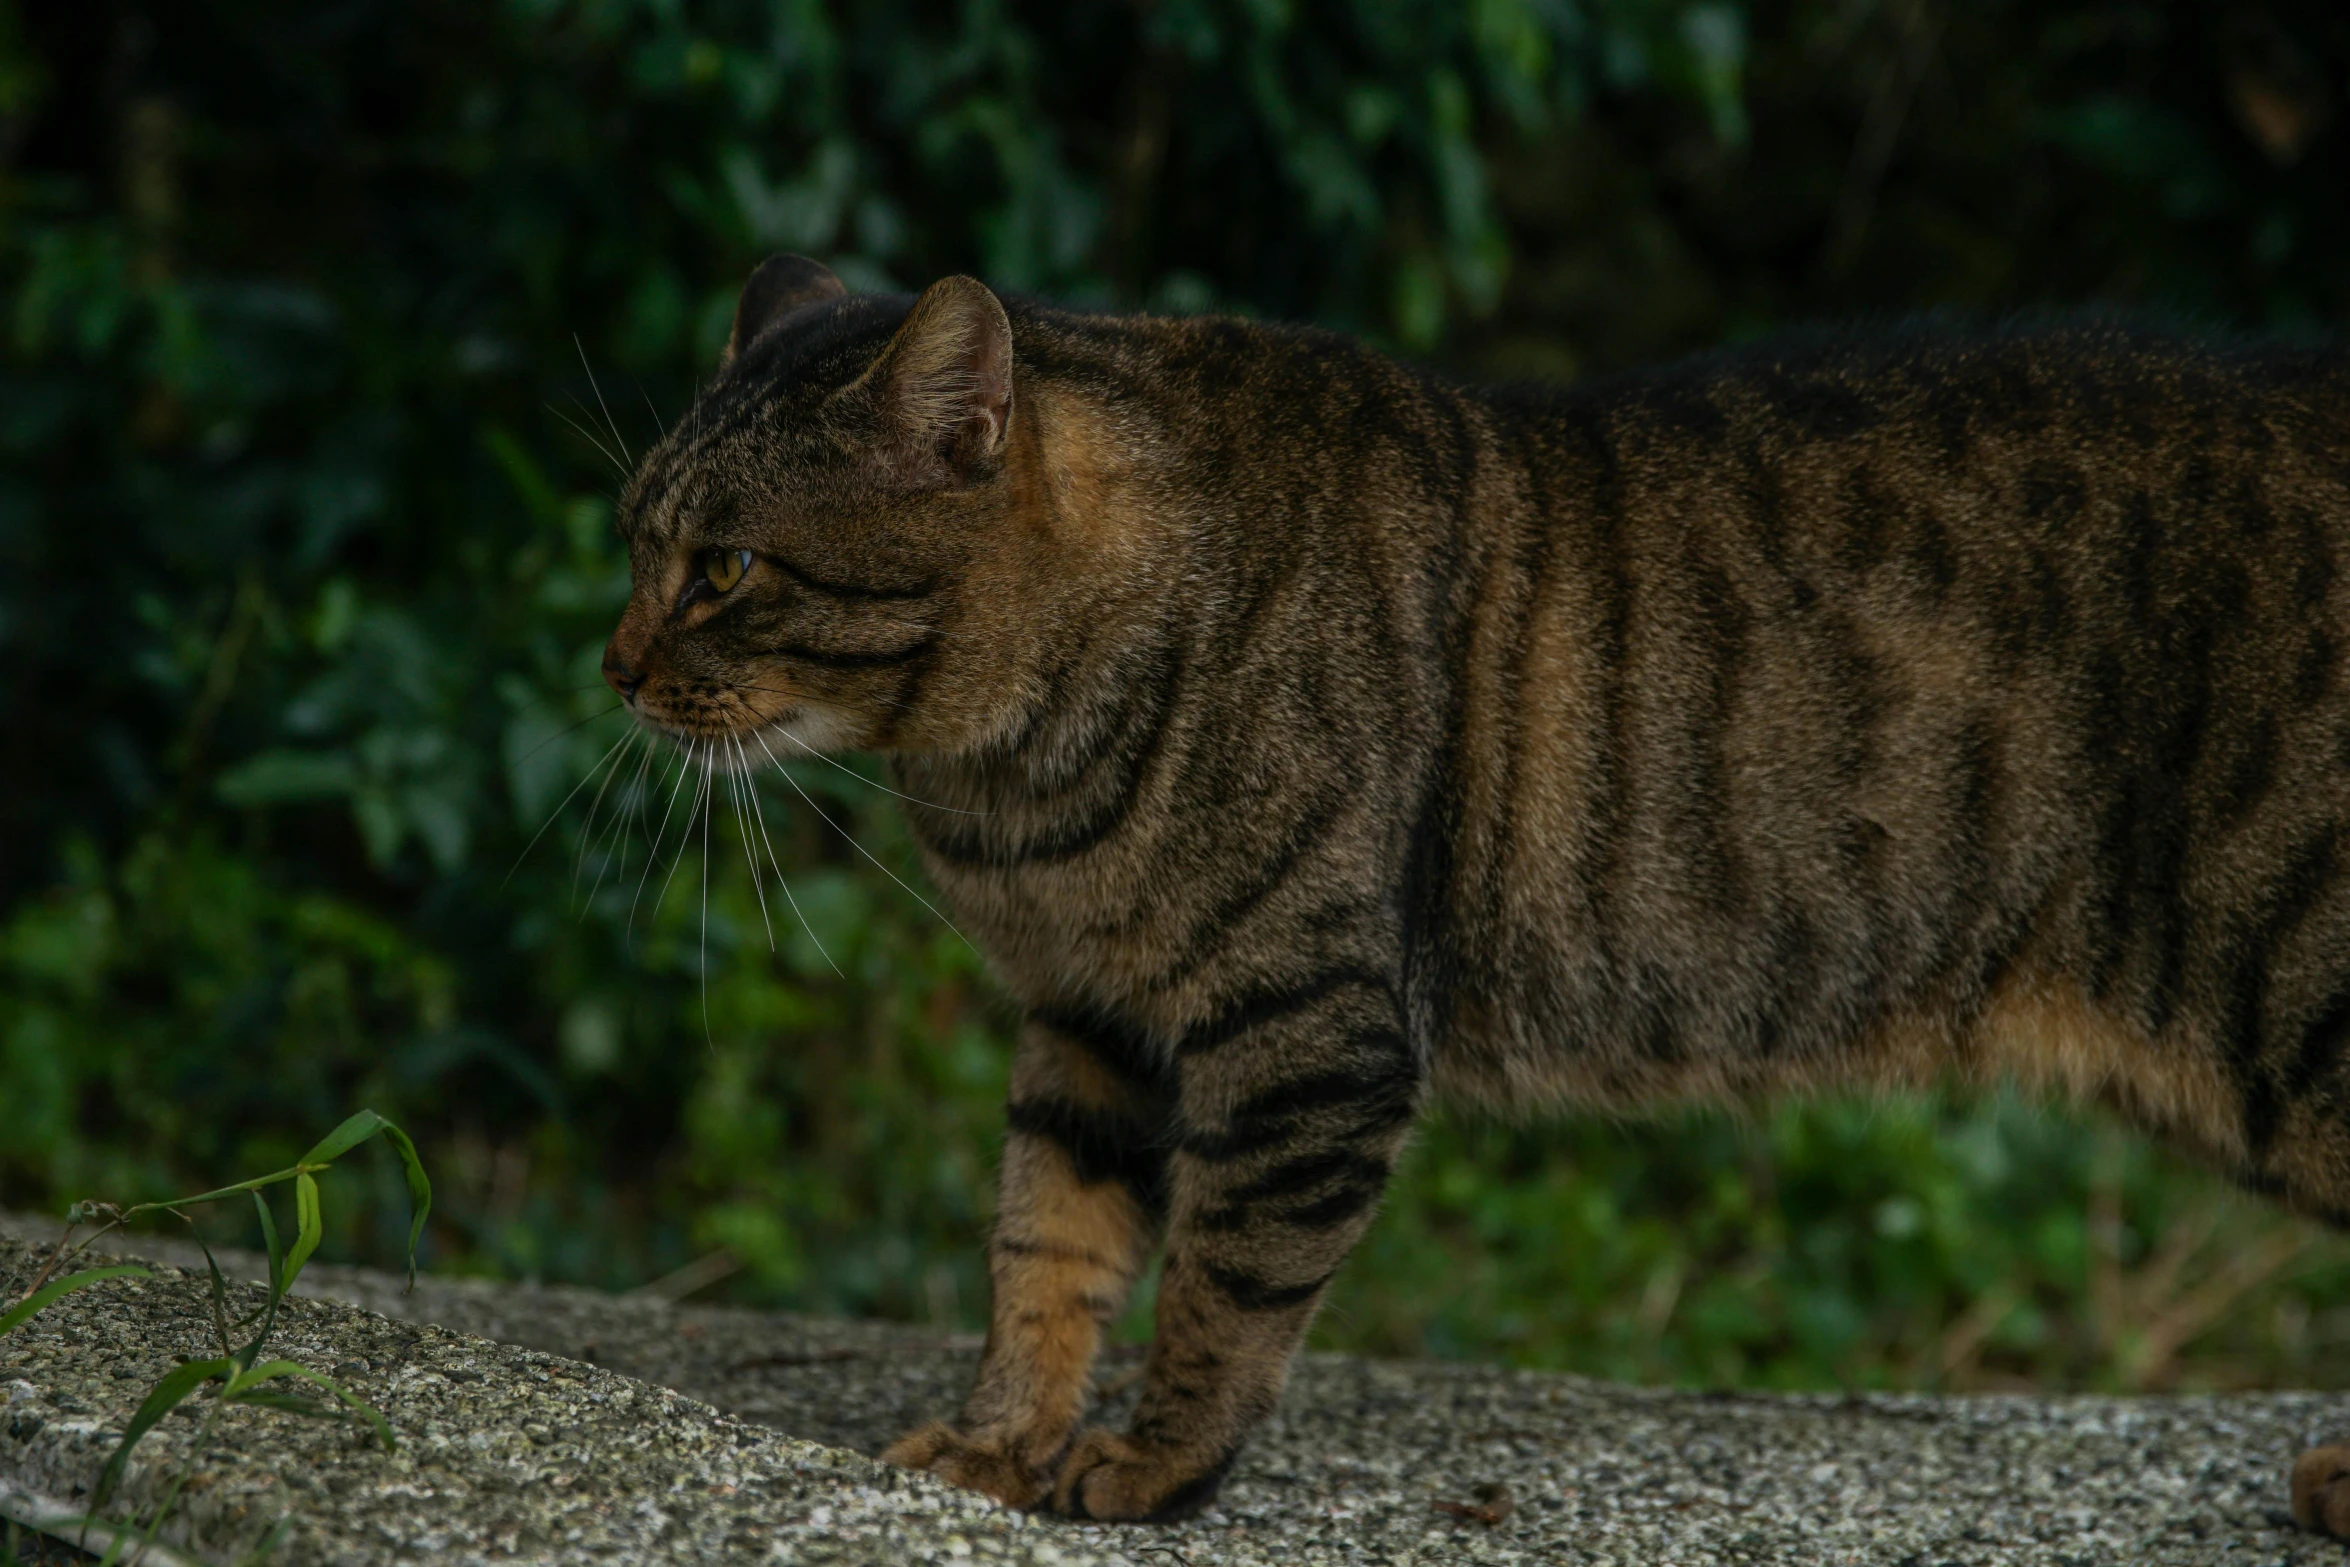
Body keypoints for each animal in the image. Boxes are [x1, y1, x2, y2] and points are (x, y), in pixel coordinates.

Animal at [601, 254, 2350, 1531]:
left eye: (724, 569)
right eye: (630, 545)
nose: (608, 662)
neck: (1006, 790)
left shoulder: (1304, 1031)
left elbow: (1221, 1281)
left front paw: (1155, 1465)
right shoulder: (1092, 1016)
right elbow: (1046, 1243)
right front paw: (999, 1438)